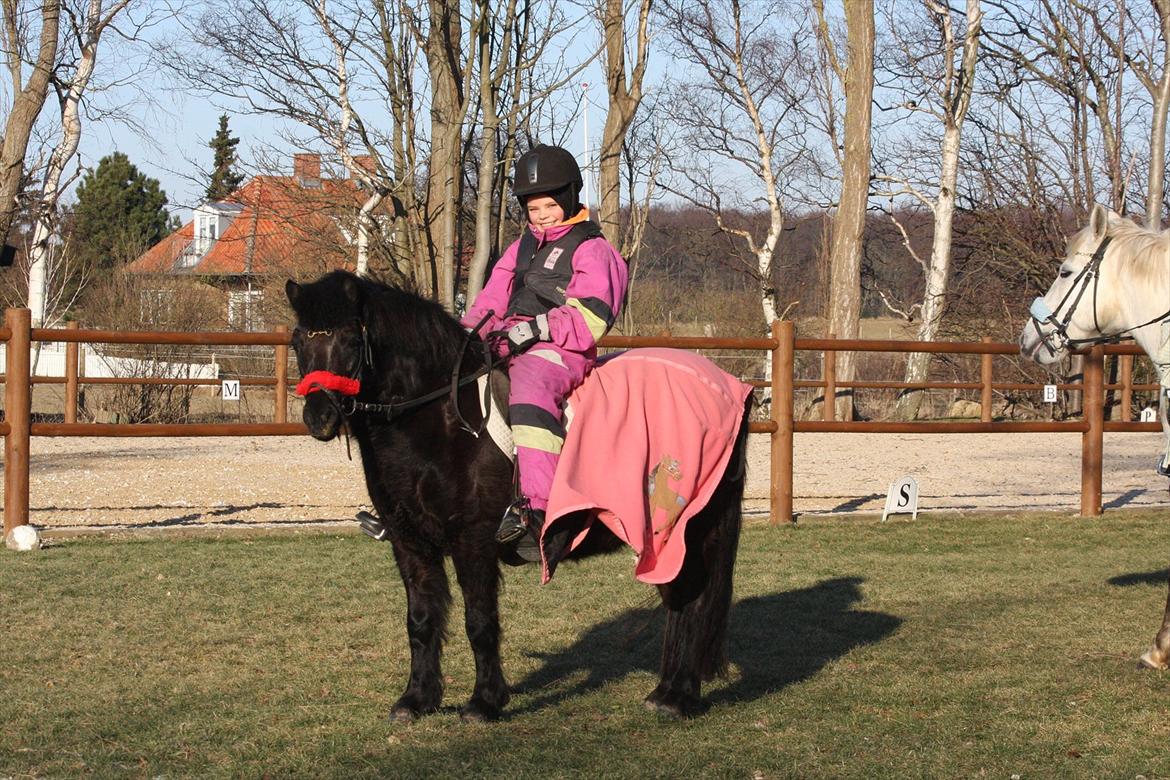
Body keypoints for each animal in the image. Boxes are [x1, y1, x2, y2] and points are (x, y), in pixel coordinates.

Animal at [286, 271, 744, 725]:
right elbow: (420, 620)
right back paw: (666, 691)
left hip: (688, 529)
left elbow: (479, 621)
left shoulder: (473, 541)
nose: (319, 417)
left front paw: (484, 702)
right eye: (298, 340)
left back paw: (679, 696)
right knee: (680, 601)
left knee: (693, 599)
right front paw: (417, 699)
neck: (443, 420)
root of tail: (728, 385)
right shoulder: (410, 542)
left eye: (350, 339)